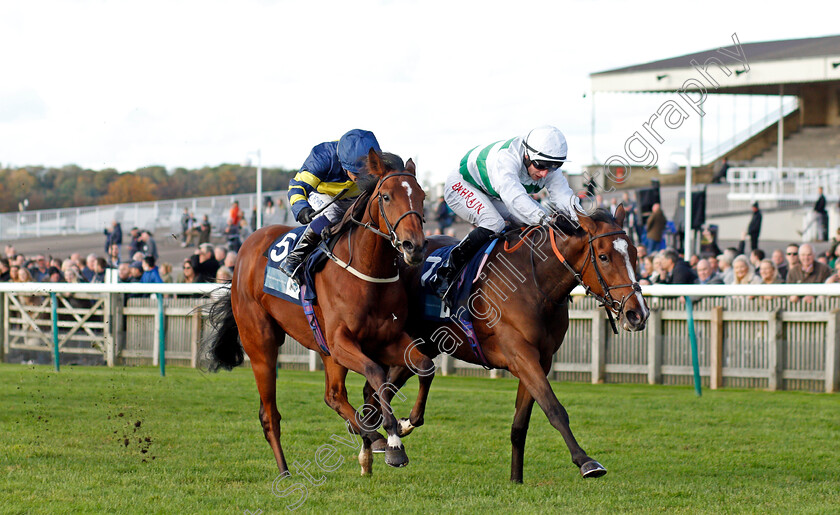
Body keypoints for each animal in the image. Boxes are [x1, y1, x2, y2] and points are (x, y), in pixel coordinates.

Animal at [199, 151, 434, 478]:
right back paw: (286, 470)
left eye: (422, 196)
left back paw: (367, 435)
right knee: (270, 414)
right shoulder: (341, 342)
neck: (367, 273)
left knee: (333, 395)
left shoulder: (387, 339)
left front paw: (406, 422)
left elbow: (424, 366)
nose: (415, 247)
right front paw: (393, 442)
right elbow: (375, 373)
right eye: (386, 196)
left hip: (324, 349)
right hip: (262, 343)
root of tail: (246, 249)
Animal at [362, 206, 648, 484]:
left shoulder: (541, 360)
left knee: (382, 389)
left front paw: (515, 478)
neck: (535, 283)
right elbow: (554, 408)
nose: (638, 314)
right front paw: (586, 461)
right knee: (378, 391)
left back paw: (380, 444)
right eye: (604, 257)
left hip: (423, 346)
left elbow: (520, 424)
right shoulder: (521, 356)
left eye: (634, 253)